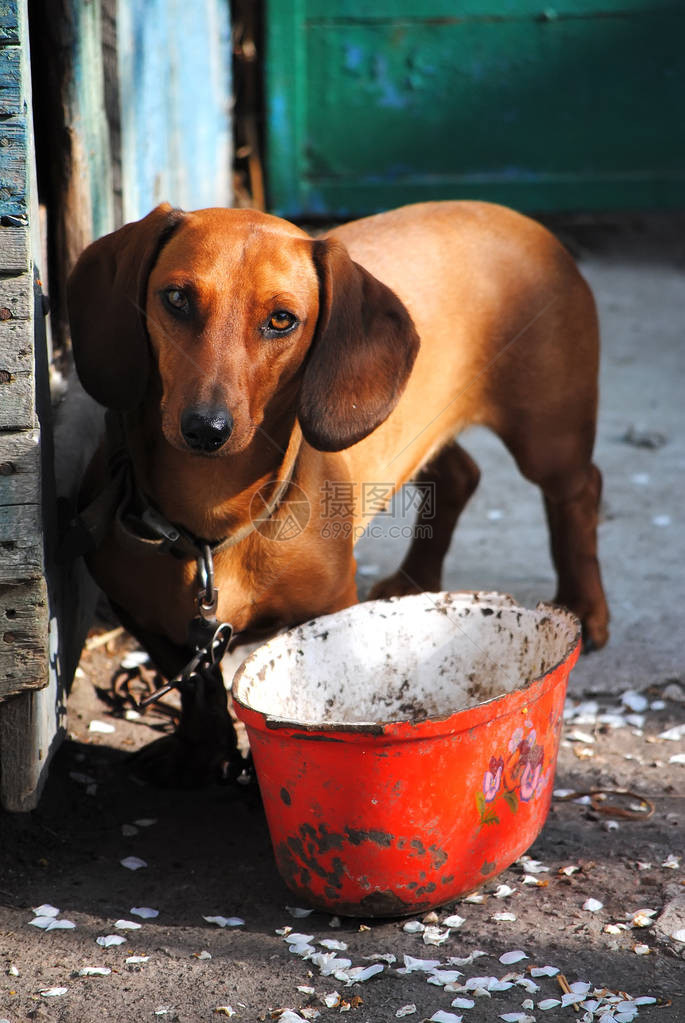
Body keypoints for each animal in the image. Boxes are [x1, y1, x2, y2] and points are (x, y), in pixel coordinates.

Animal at [66, 201, 609, 781]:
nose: (205, 429)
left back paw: (586, 606)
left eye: (282, 319)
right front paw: (199, 754)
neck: (215, 525)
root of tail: (515, 216)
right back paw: (415, 579)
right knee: (459, 476)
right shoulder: (145, 618)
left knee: (579, 492)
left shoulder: (326, 614)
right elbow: (199, 691)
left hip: (548, 438)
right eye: (176, 298)